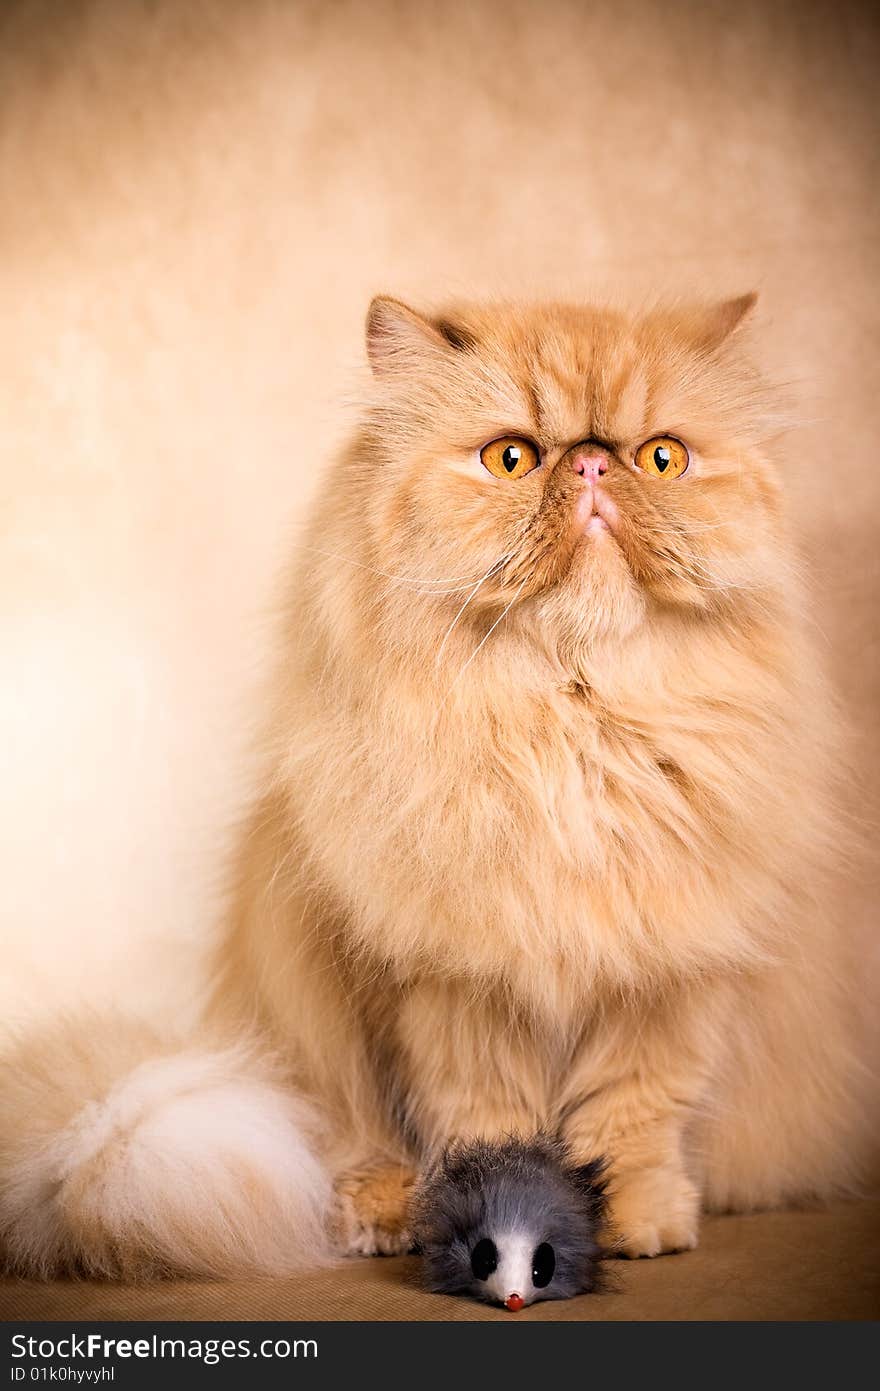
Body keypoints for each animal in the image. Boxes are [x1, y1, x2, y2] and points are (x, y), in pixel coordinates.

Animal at [0, 299, 873, 1274]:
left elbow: (634, 1116)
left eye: (661, 458)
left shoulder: (670, 975)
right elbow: (488, 1121)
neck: (571, 727)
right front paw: (500, 1220)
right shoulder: (454, 992)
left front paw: (641, 1223)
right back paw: (380, 1215)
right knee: (344, 1143)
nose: (592, 462)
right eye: (512, 458)